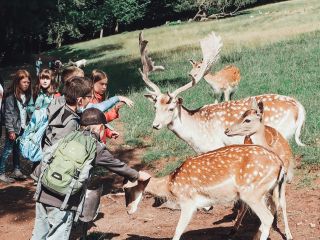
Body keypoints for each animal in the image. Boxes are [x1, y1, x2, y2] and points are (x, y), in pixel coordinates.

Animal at [124, 144, 292, 240]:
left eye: (127, 188)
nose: (128, 210)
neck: (171, 184)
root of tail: (280, 163)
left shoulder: (188, 201)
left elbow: (178, 230)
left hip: (252, 193)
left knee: (268, 217)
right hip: (268, 190)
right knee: (275, 208)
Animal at [139, 31, 304, 154]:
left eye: (171, 108)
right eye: (155, 107)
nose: (155, 125)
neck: (194, 136)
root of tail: (300, 108)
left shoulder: (215, 146)